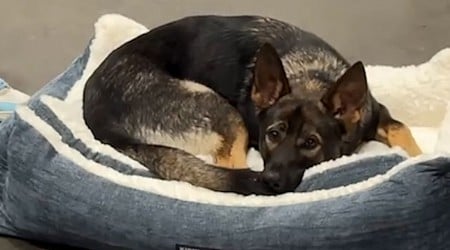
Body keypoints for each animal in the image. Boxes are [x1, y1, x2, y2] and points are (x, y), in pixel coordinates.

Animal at [81, 15, 422, 195]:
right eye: (273, 134)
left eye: (310, 143)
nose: (269, 181)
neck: (311, 76)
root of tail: (97, 118)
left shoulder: (378, 114)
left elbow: (403, 130)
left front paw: (420, 157)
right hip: (224, 112)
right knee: (229, 166)